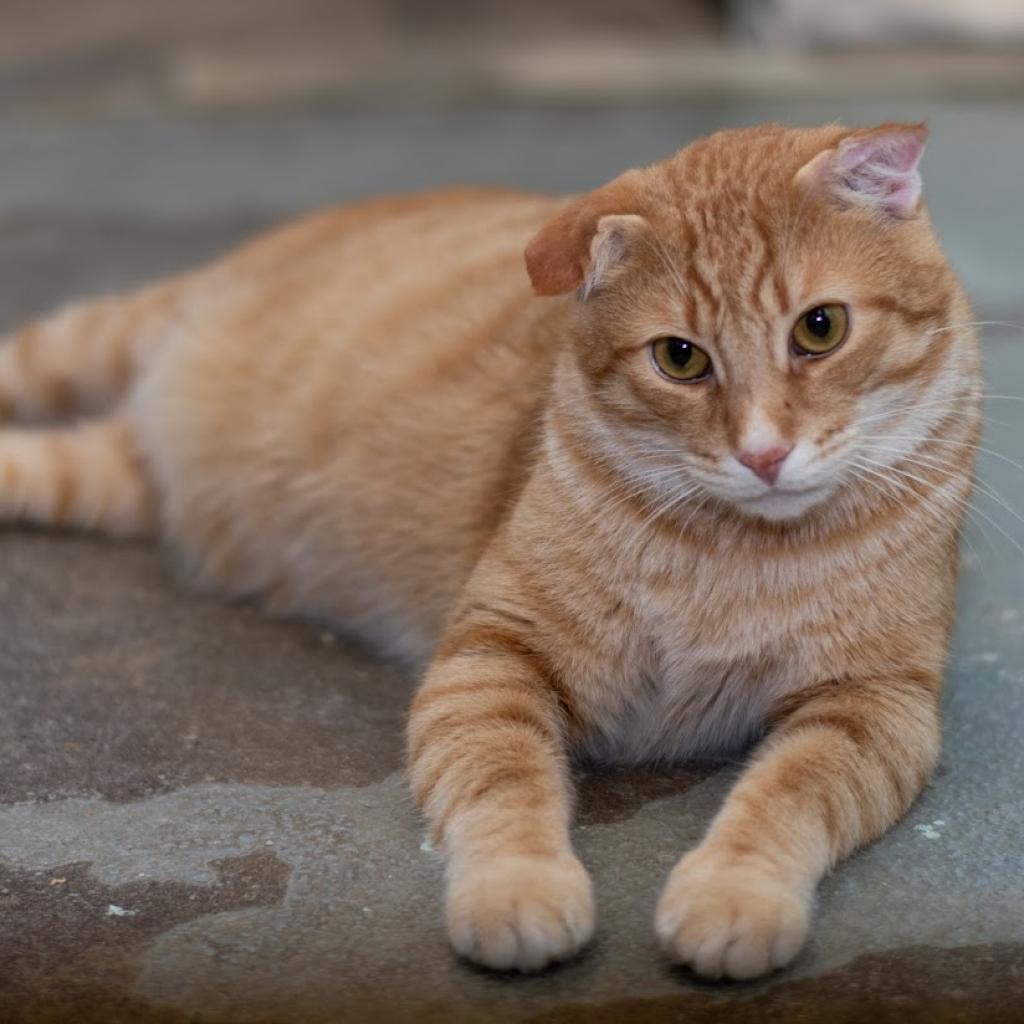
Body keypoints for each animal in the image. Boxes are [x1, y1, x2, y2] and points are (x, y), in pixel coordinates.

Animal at [0, 123, 978, 978]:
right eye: (680, 358)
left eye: (821, 329)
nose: (764, 454)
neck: (738, 554)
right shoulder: (495, 655)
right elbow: (504, 786)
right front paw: (518, 891)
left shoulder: (875, 704)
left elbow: (787, 796)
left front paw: (735, 897)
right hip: (97, 341)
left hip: (111, 478)